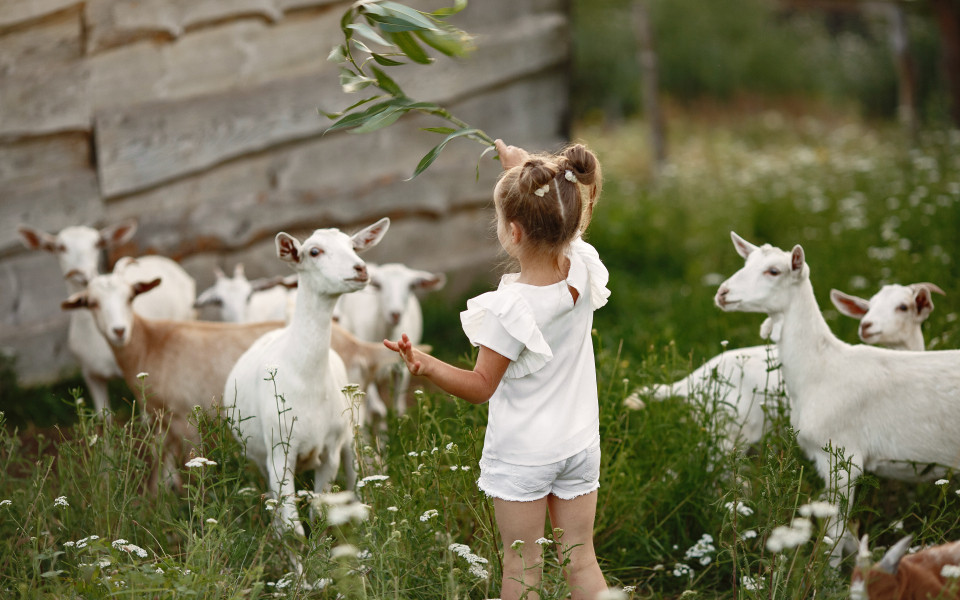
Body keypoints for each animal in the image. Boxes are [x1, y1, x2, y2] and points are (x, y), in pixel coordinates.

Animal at [19, 220, 196, 415]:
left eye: (97, 244)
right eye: (60, 247)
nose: (84, 272)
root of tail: (161, 258)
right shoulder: (91, 375)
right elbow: (104, 417)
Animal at [714, 231, 960, 565]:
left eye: (774, 271)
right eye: (746, 262)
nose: (722, 293)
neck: (821, 369)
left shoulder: (843, 458)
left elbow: (834, 537)